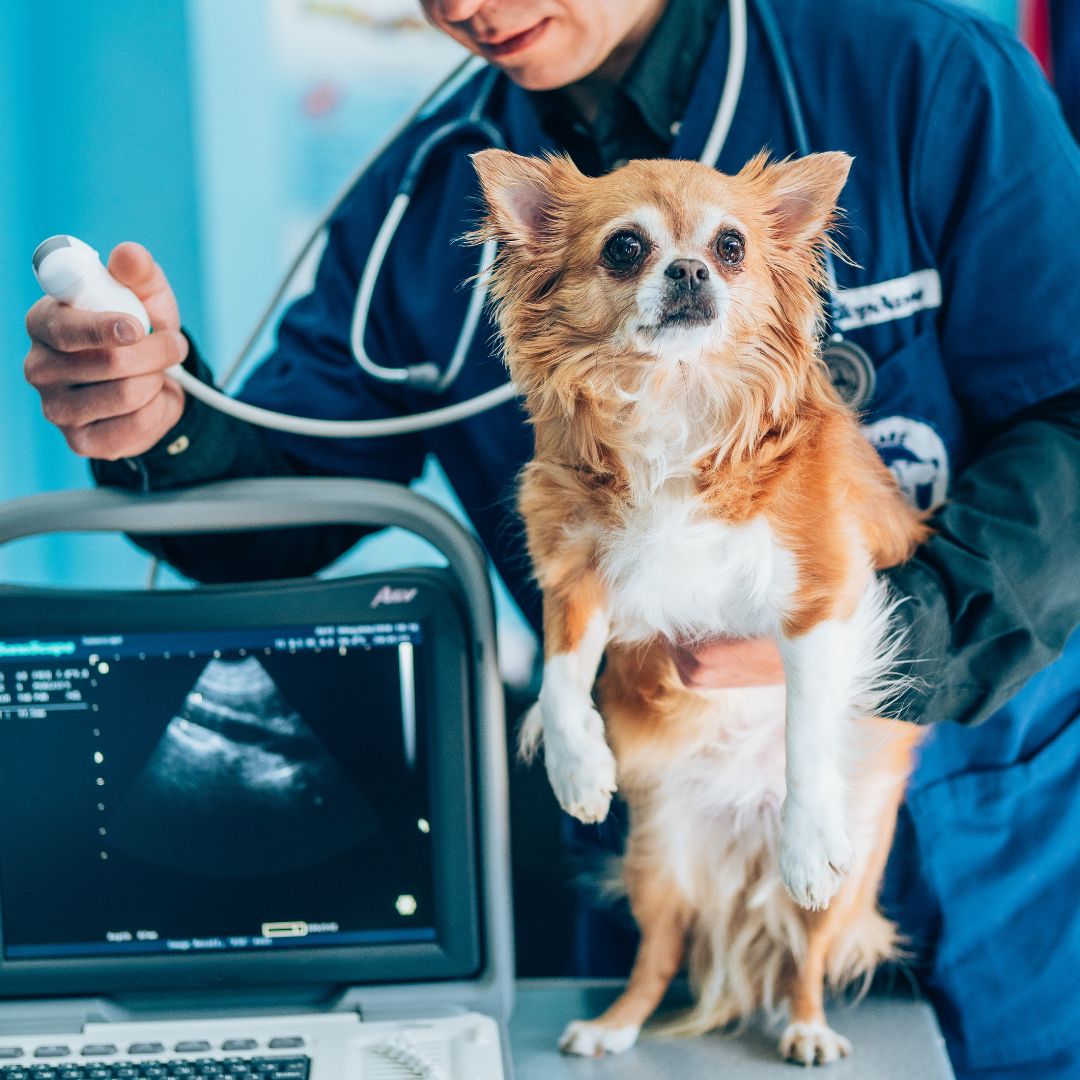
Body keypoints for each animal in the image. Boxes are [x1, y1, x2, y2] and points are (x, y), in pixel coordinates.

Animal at [473, 147, 928, 1067]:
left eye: (731, 247)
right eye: (624, 248)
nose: (688, 269)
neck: (676, 395)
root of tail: (739, 846)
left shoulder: (818, 595)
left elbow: (805, 728)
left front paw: (807, 832)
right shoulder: (575, 575)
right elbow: (560, 678)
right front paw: (579, 768)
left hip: (844, 889)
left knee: (805, 959)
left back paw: (807, 1025)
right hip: (656, 861)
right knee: (658, 956)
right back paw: (611, 1026)